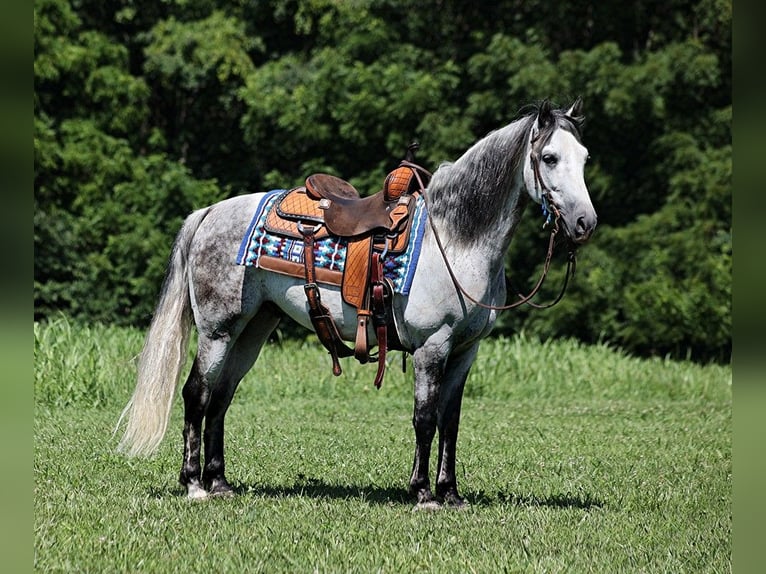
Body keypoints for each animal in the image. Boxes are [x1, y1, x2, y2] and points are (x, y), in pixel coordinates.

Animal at [118, 99, 600, 508]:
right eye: (549, 158)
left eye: (584, 157)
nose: (585, 223)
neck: (455, 240)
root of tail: (209, 213)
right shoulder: (432, 347)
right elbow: (425, 418)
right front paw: (423, 494)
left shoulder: (466, 351)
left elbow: (451, 422)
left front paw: (451, 493)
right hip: (218, 330)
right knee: (196, 394)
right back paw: (194, 485)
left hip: (252, 330)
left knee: (220, 397)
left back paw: (219, 483)